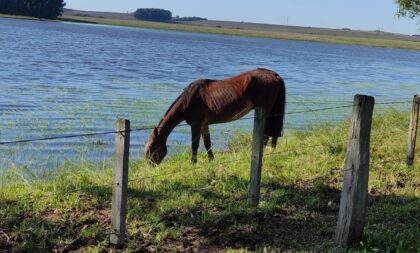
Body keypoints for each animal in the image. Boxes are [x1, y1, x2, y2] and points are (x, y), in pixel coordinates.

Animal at [144, 68, 286, 165]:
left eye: (152, 147)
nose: (150, 165)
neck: (188, 101)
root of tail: (275, 75)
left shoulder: (195, 125)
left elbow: (195, 144)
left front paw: (193, 163)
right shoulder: (204, 125)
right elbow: (208, 143)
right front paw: (211, 161)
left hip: (267, 112)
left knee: (266, 134)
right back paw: (271, 151)